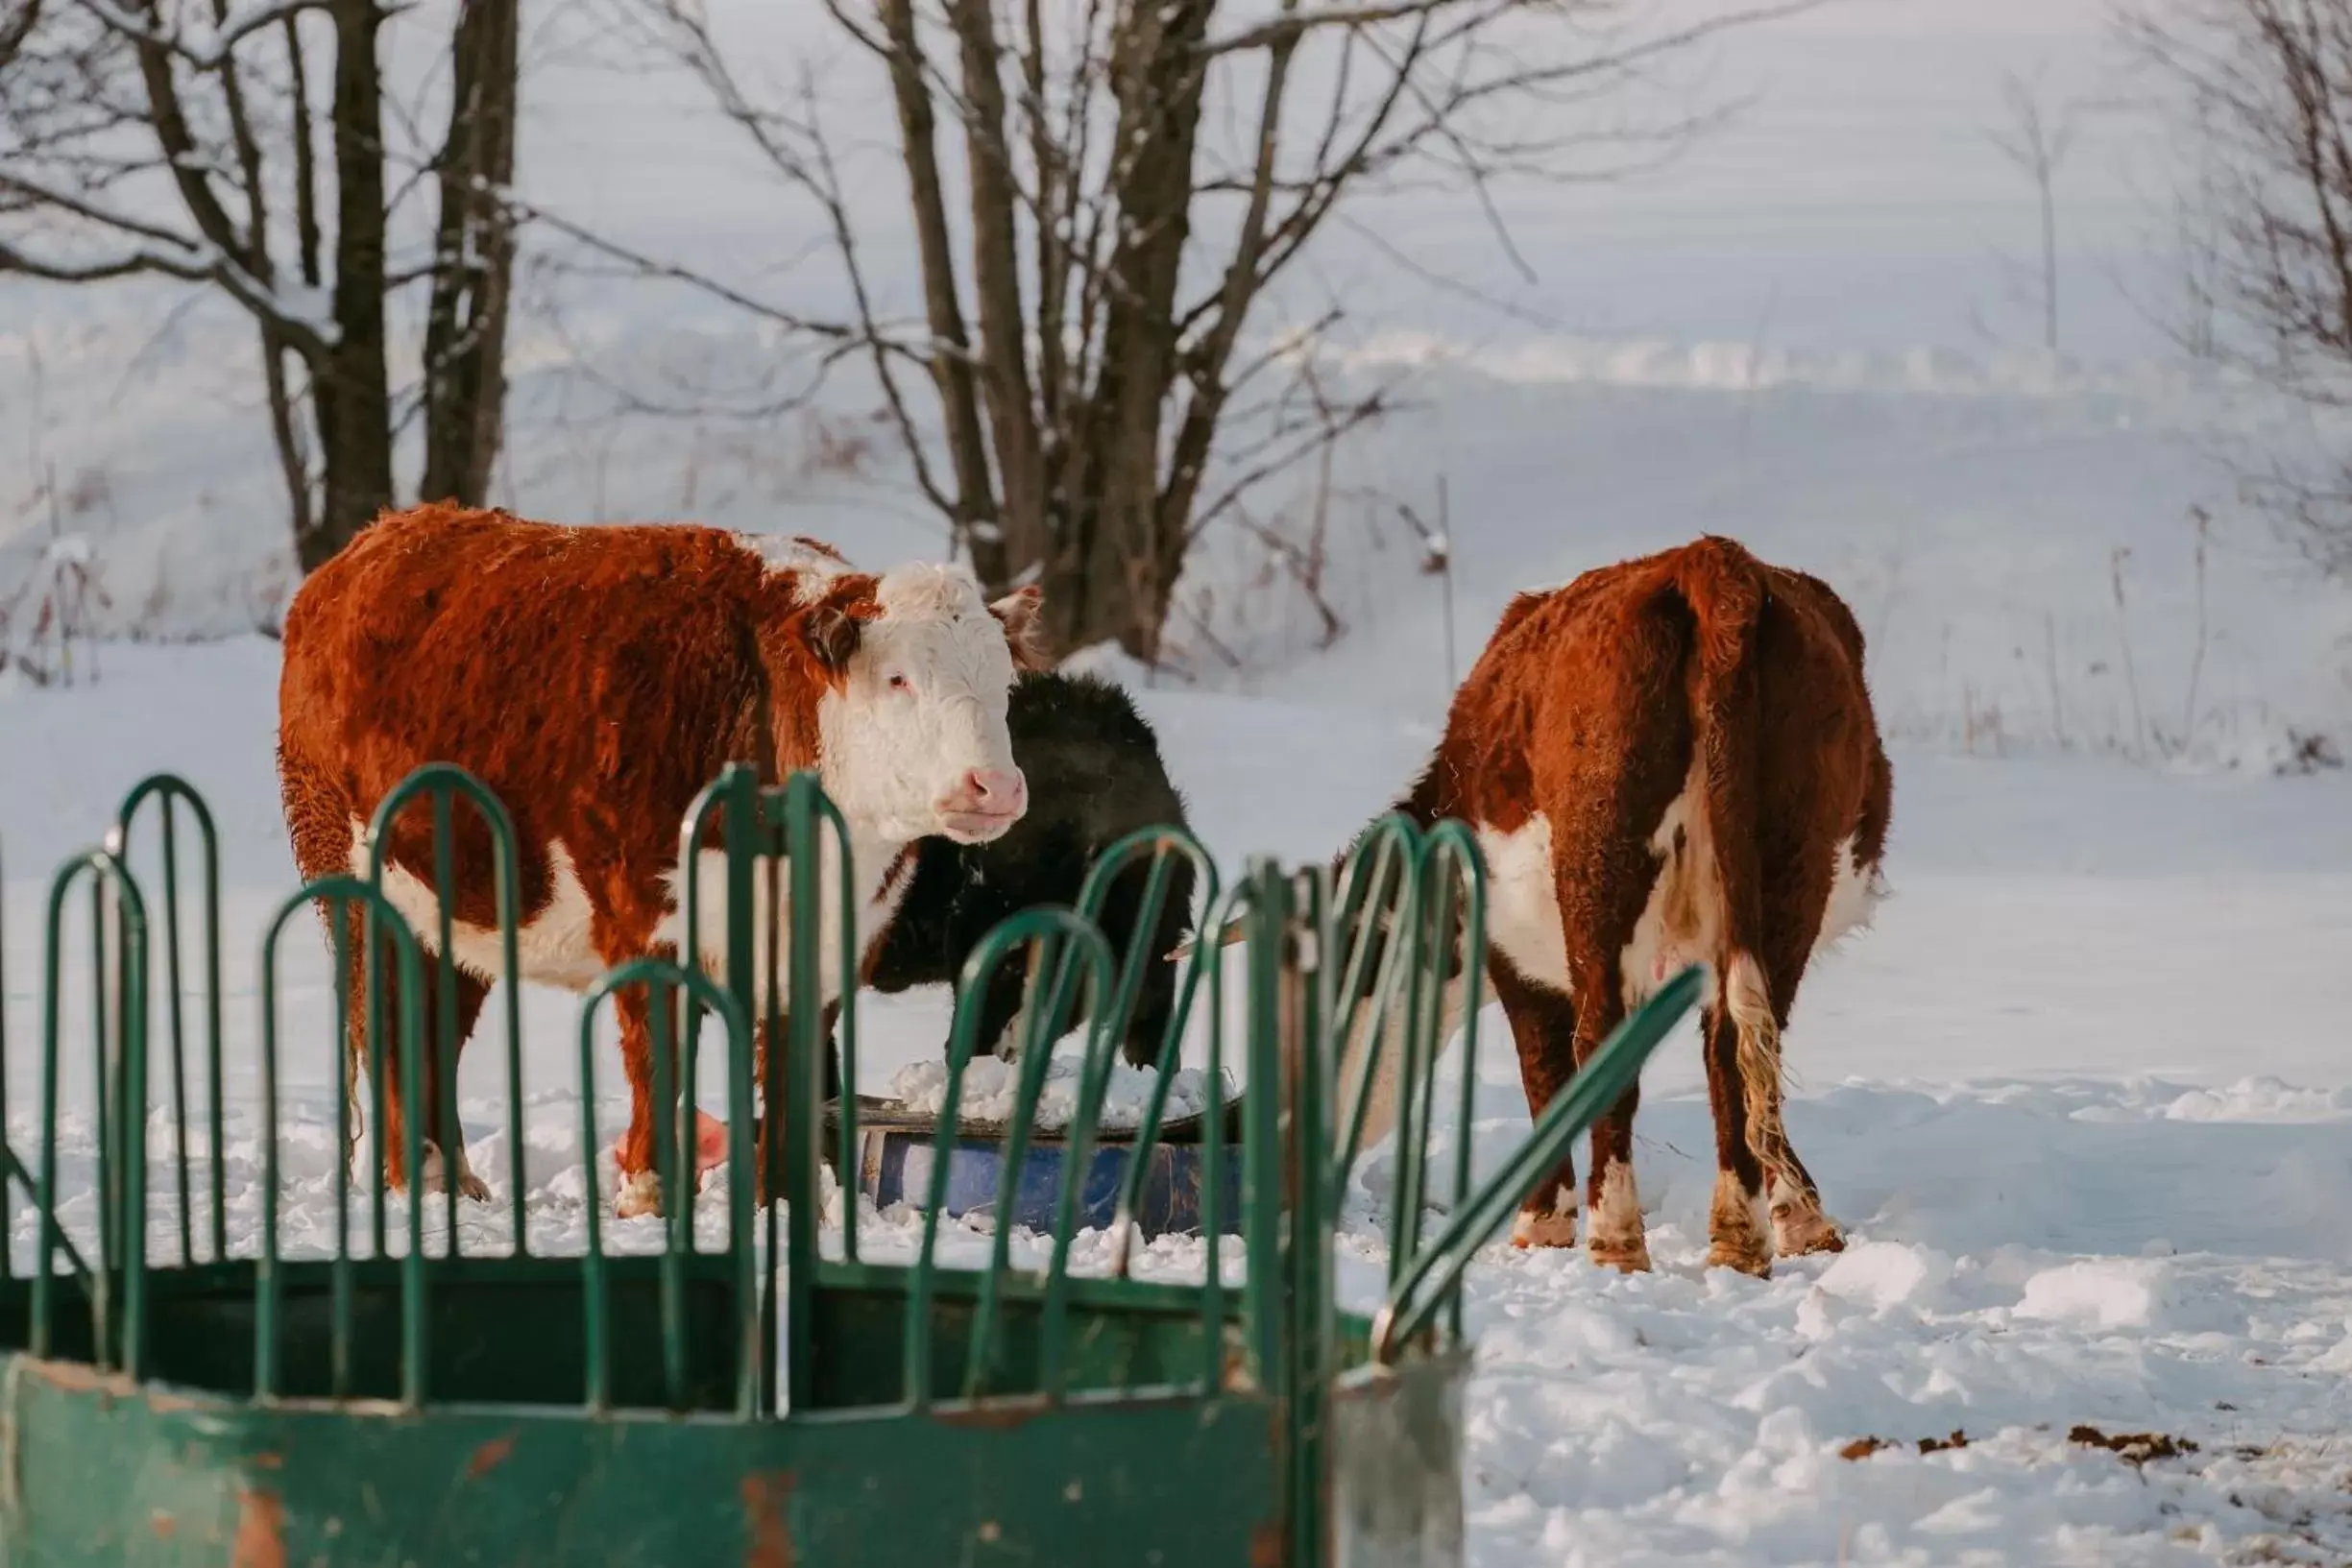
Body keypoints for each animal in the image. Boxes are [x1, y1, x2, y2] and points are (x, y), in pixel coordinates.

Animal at [275, 510, 1049, 1222]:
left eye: (1004, 686)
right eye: (897, 679)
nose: (995, 785)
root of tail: (376, 539)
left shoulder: (827, 942)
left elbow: (794, 1075)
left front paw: (783, 1205)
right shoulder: (646, 917)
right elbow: (658, 1056)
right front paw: (650, 1197)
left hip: (459, 906)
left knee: (438, 1023)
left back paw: (453, 1181)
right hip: (353, 884)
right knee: (389, 1022)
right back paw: (415, 1181)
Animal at [1345, 536, 1890, 1278]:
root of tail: (1712, 561)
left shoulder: (1514, 950)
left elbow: (1544, 1068)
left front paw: (1540, 1224)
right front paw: (1804, 1219)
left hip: (1601, 873)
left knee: (1609, 1044)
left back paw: (1616, 1241)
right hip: (1789, 865)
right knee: (1745, 1046)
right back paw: (1738, 1241)